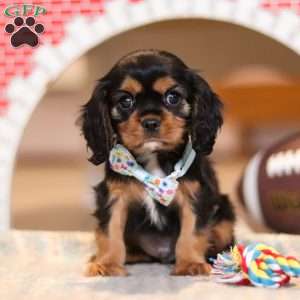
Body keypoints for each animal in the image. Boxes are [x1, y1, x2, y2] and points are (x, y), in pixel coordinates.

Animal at [79, 49, 234, 276]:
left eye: (172, 97)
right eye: (126, 101)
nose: (150, 122)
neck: (154, 158)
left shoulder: (196, 196)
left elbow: (191, 233)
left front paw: (190, 264)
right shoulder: (113, 196)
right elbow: (109, 233)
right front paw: (107, 264)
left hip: (225, 215)